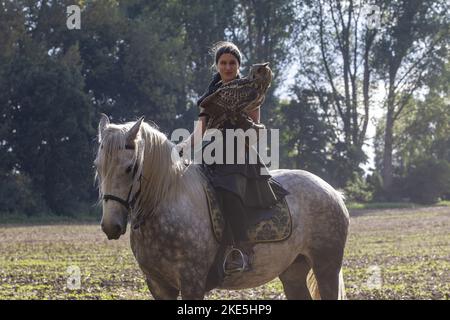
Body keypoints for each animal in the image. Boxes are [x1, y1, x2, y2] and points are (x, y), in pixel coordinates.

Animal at [94, 115, 348, 300]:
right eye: (98, 166)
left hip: (326, 268)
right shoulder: (158, 285)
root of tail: (332, 191)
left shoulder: (192, 283)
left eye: (130, 168)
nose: (110, 225)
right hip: (293, 271)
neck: (167, 203)